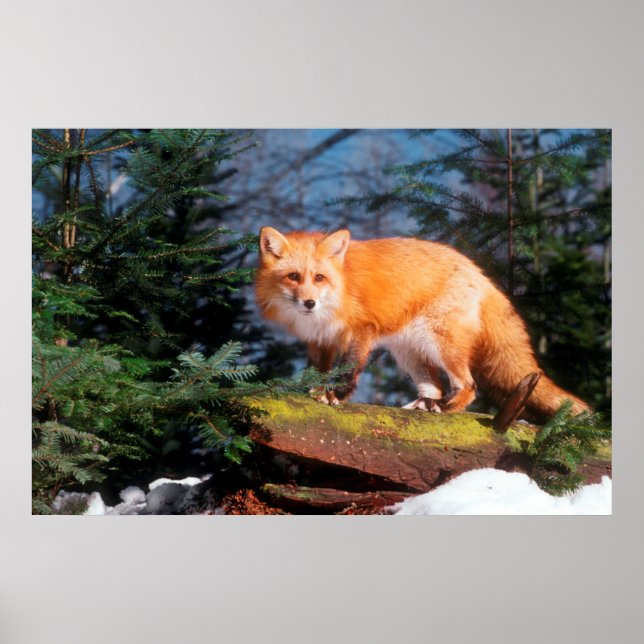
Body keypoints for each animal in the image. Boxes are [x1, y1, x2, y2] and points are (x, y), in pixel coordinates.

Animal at [255, 226, 590, 422]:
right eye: (293, 277)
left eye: (319, 278)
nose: (309, 303)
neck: (341, 286)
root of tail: (479, 272)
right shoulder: (320, 339)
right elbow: (316, 370)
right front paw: (307, 391)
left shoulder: (360, 330)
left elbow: (347, 368)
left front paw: (334, 395)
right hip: (410, 354)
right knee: (436, 387)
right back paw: (424, 405)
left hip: (441, 343)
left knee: (468, 386)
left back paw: (445, 408)